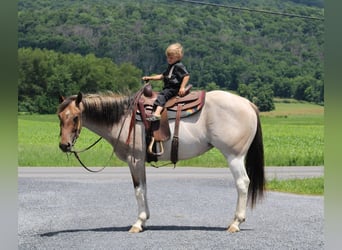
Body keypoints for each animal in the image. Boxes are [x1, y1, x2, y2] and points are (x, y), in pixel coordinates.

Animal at [57, 89, 266, 232]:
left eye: (75, 117)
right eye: (60, 117)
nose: (64, 145)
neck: (124, 119)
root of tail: (248, 104)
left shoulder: (134, 160)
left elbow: (138, 190)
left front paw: (138, 223)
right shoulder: (140, 162)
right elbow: (144, 189)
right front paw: (144, 220)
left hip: (234, 156)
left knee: (242, 183)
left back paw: (235, 222)